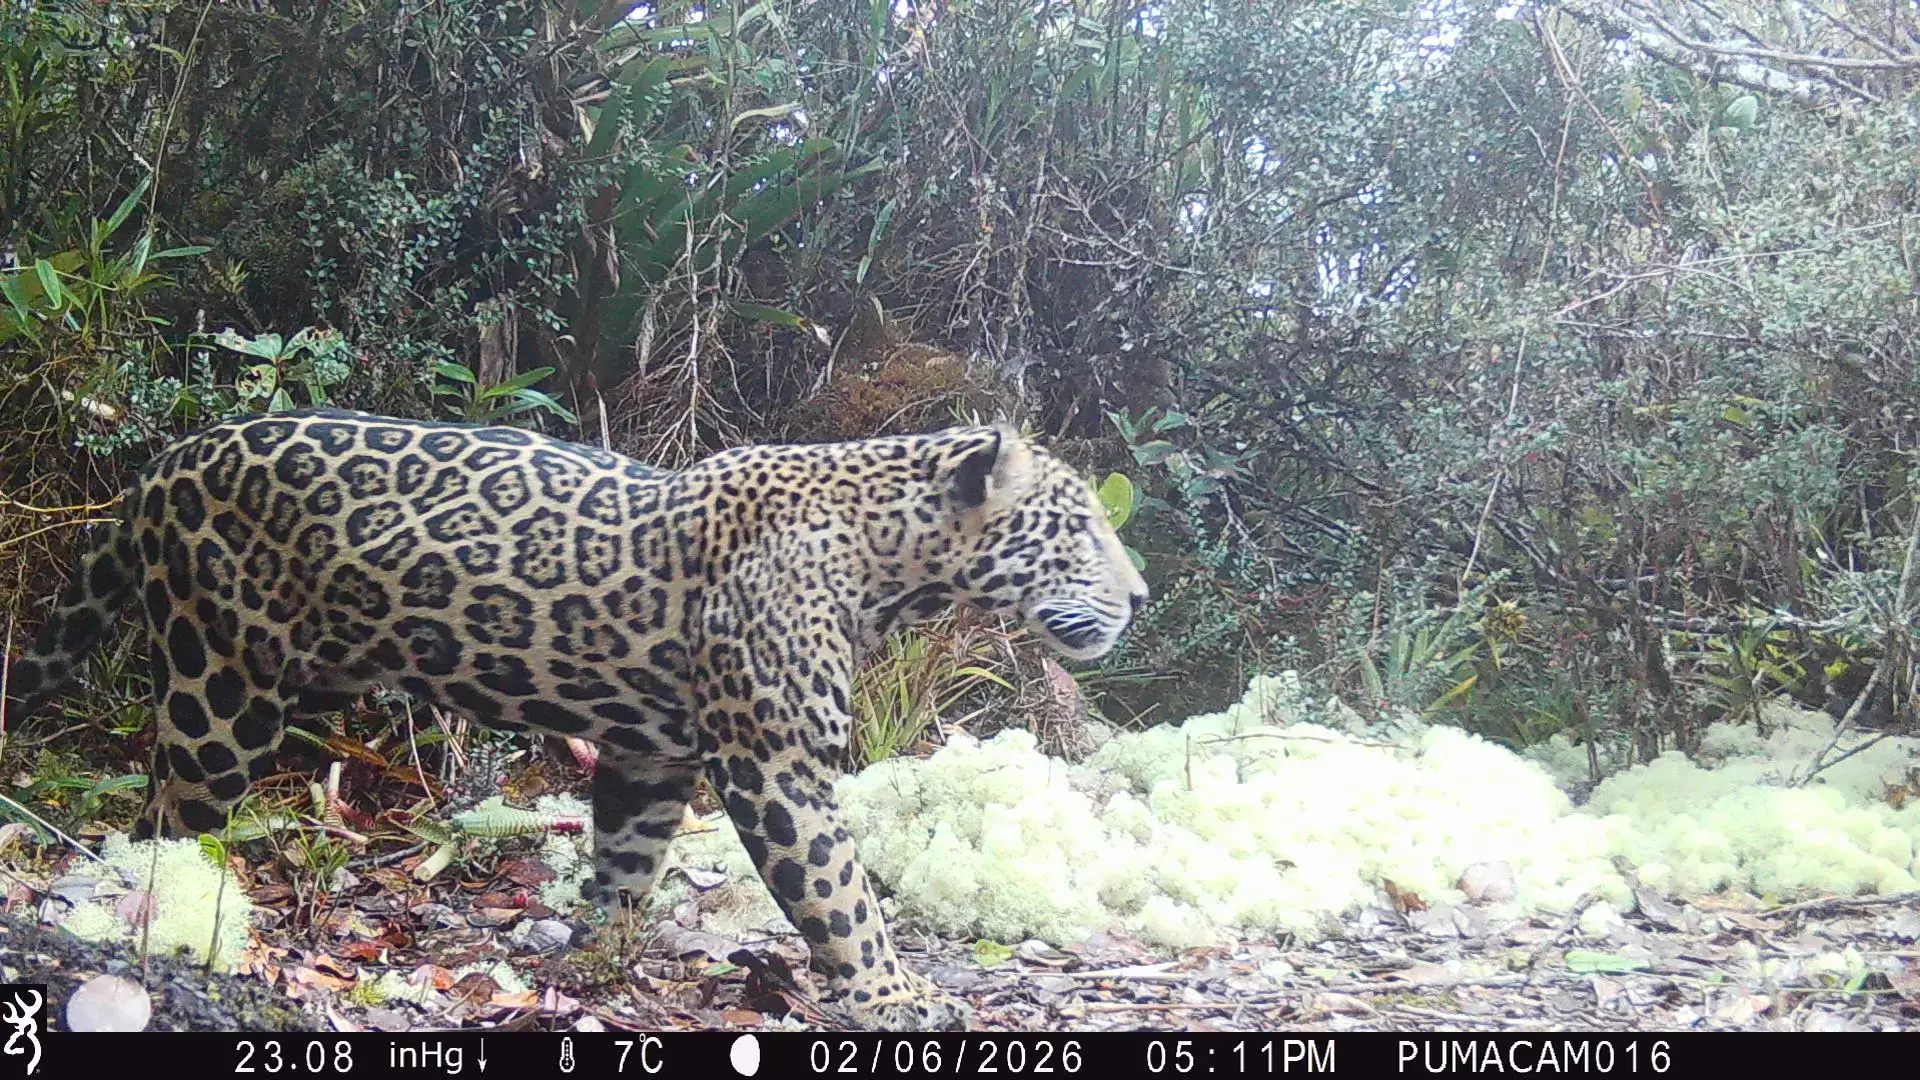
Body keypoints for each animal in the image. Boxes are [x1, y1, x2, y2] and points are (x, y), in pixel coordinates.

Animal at [4, 409, 1148, 1031]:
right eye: (1081, 528)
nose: (1140, 597)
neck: (889, 564)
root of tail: (158, 466)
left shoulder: (651, 752)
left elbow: (628, 858)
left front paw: (603, 953)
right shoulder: (775, 762)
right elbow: (840, 894)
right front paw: (895, 993)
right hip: (224, 687)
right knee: (169, 815)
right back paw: (174, 913)